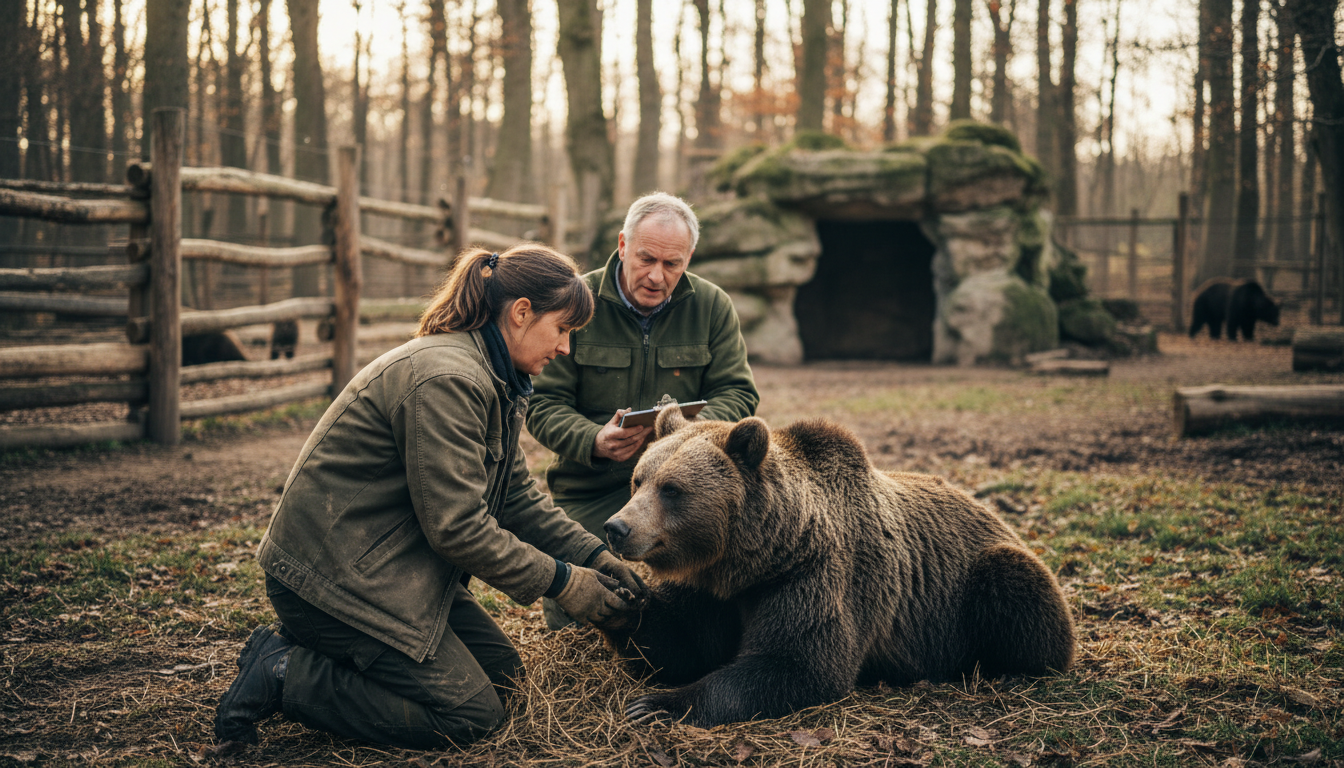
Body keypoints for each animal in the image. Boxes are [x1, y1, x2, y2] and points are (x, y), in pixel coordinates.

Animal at [598, 407, 1076, 727]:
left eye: (672, 489)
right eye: (639, 479)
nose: (616, 527)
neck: (752, 558)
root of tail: (993, 511)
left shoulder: (817, 574)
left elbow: (800, 663)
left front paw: (657, 704)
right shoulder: (715, 590)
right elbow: (681, 642)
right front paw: (616, 599)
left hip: (973, 582)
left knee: (1016, 587)